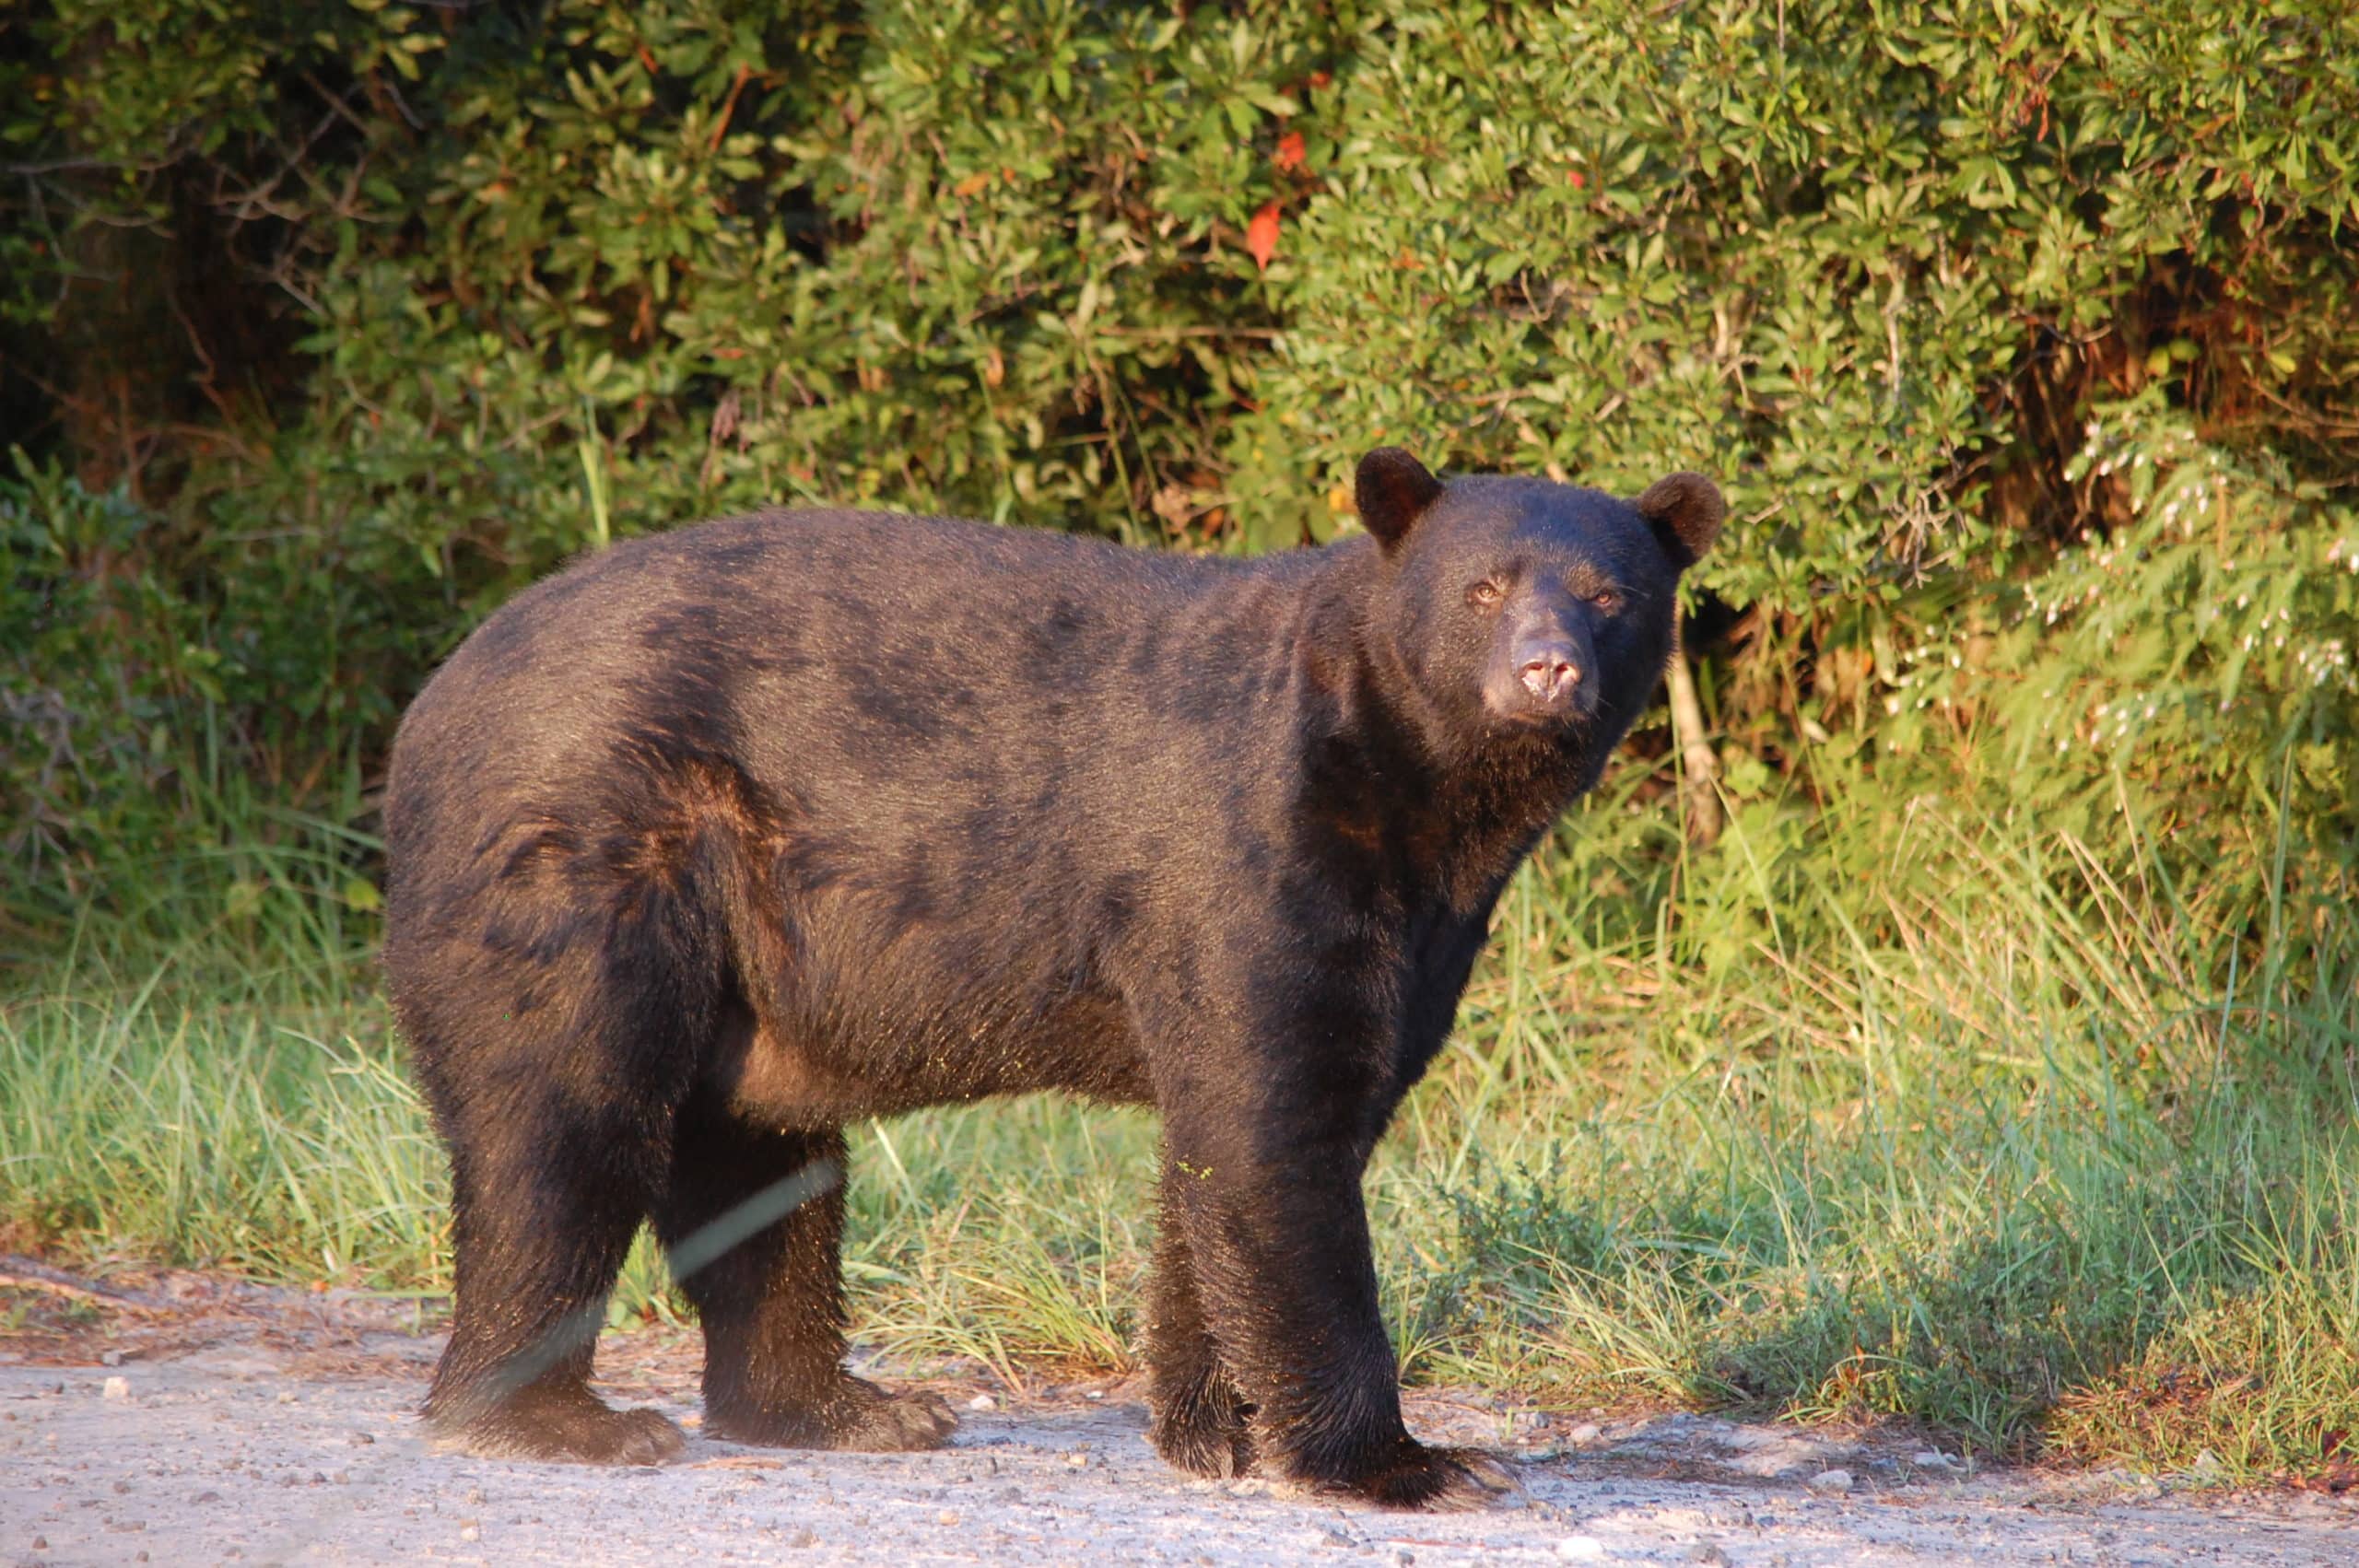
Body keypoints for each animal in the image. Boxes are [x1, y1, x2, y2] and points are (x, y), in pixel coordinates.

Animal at [380, 447, 1723, 1509]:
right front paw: (1406, 1461)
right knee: (563, 1122)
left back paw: (845, 1407)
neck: (1421, 804)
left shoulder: (1416, 924)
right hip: (585, 852)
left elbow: (1235, 1146)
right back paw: (554, 1418)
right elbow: (1276, 1133)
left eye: (1610, 595)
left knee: (764, 1163)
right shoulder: (1253, 848)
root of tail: (429, 702)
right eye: (1484, 586)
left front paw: (1214, 1428)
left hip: (746, 964)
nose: (1547, 668)